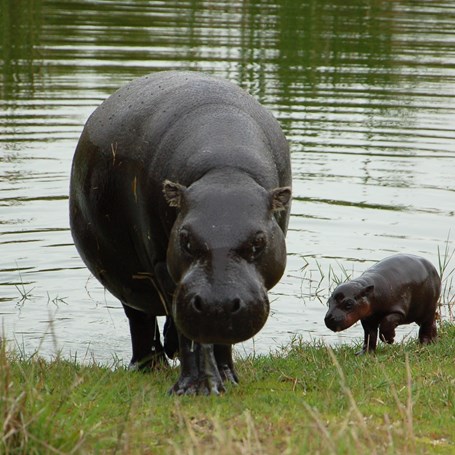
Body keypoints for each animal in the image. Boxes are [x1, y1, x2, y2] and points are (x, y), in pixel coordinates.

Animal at [70, 70, 294, 396]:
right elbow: (191, 334)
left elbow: (214, 336)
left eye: (259, 241)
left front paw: (226, 378)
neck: (225, 171)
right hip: (129, 281)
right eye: (185, 239)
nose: (217, 305)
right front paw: (194, 388)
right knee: (140, 320)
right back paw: (147, 366)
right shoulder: (164, 266)